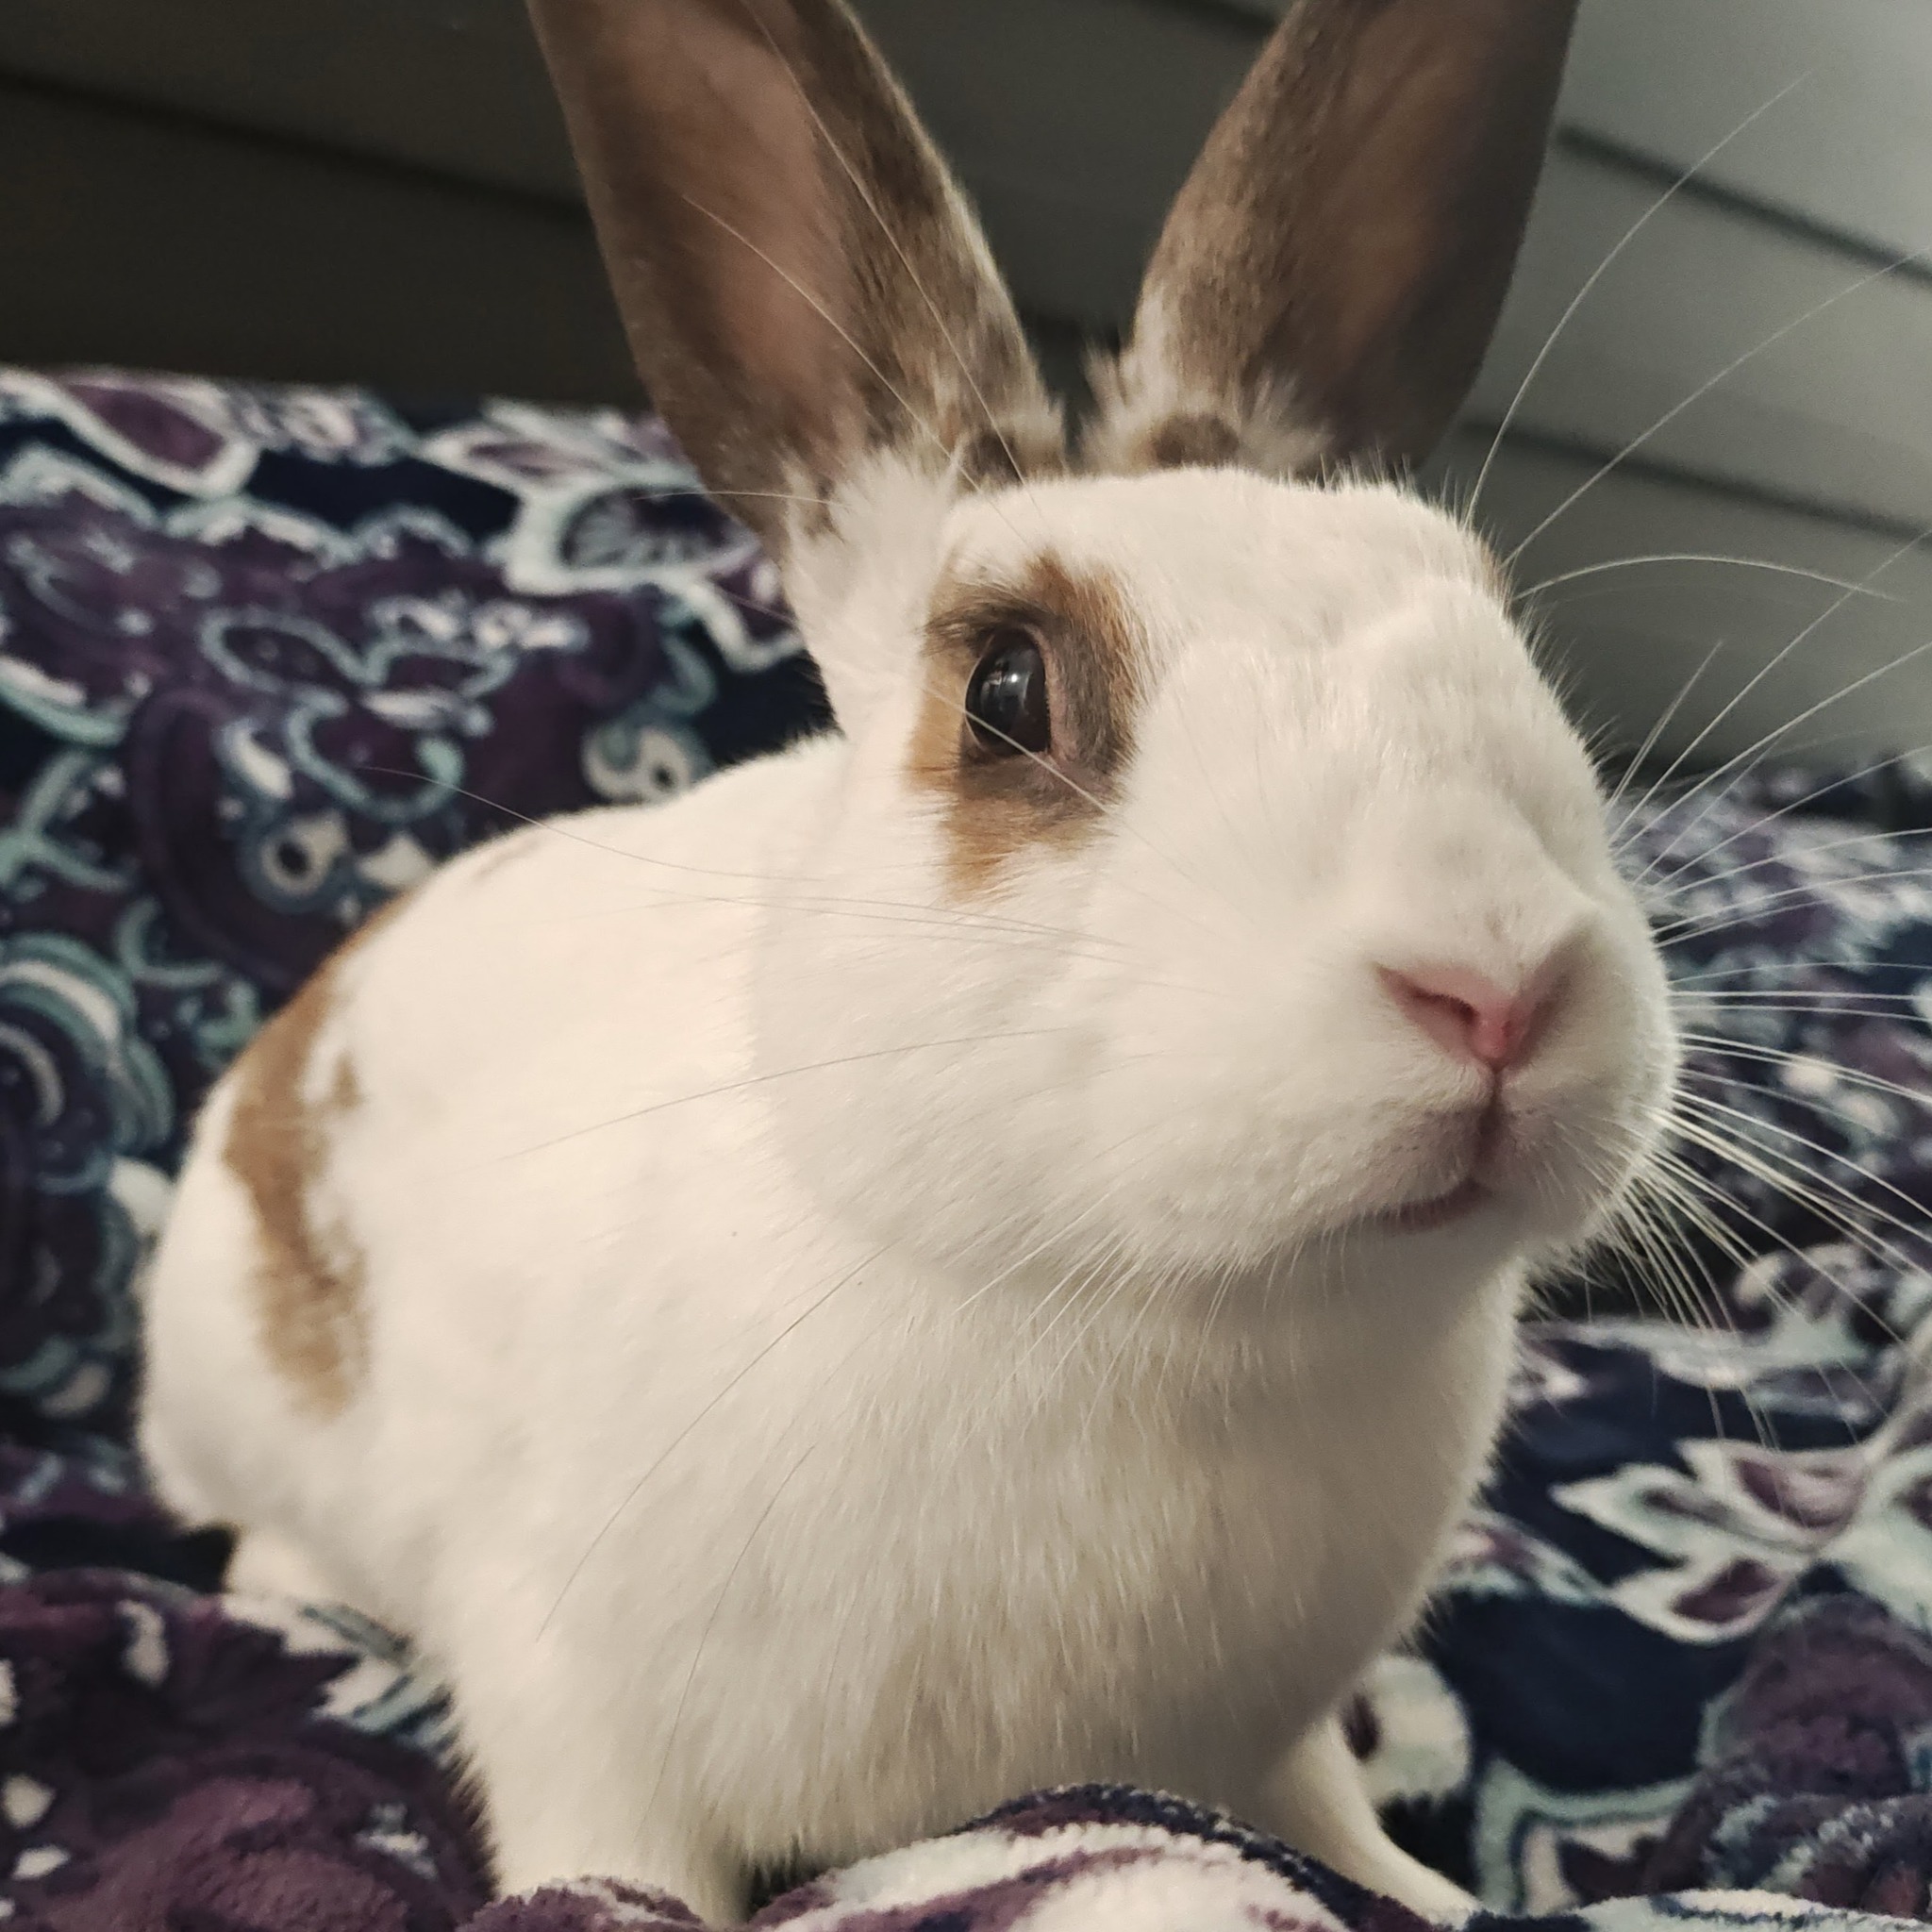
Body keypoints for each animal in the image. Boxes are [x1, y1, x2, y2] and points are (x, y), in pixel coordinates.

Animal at [137, 0, 1677, 1921]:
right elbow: (609, 1856)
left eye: (1496, 621)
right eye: (1007, 690)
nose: (1498, 981)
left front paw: (1437, 1893)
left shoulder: (1266, 1742)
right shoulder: (568, 1685)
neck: (1145, 1321)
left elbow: (1331, 1834)